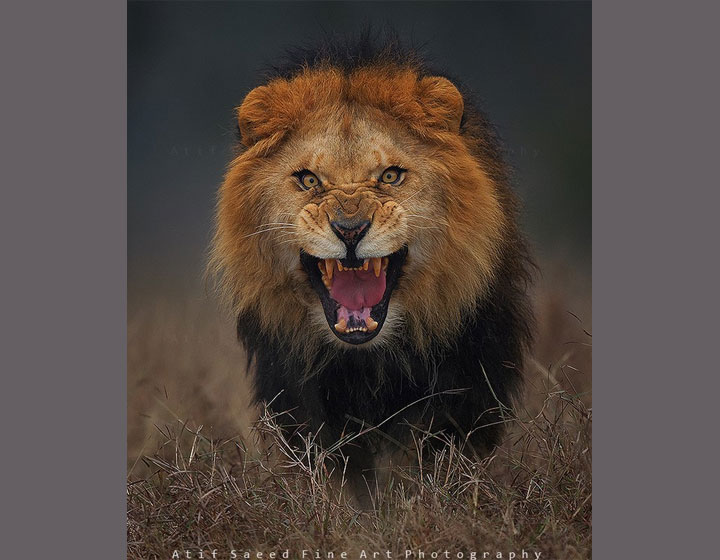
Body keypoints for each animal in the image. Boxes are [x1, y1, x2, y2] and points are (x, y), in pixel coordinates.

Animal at [210, 38, 534, 498]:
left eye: (391, 176)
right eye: (309, 180)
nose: (350, 229)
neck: (369, 361)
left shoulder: (466, 385)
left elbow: (436, 463)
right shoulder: (301, 399)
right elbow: (340, 476)